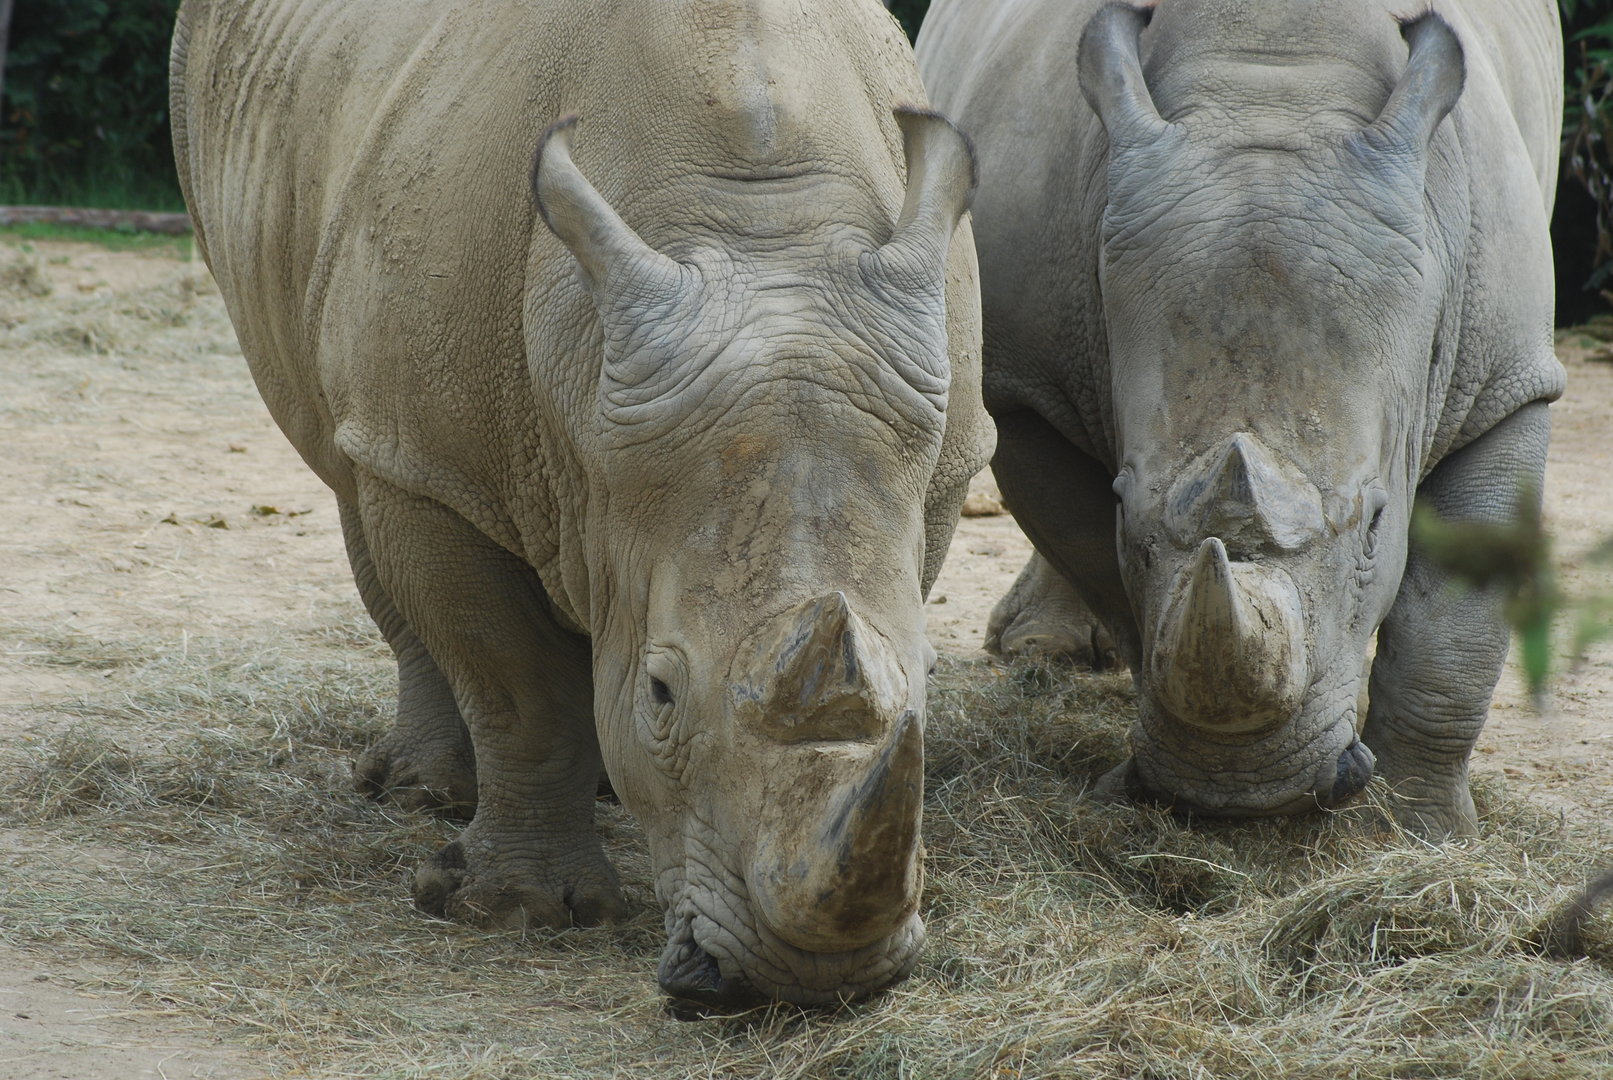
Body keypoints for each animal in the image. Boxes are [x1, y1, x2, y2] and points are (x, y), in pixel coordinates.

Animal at [170, 0, 991, 1006]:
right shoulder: (437, 461)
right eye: (661, 694)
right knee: (348, 471)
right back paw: (423, 794)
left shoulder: (941, 463)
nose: (810, 978)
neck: (758, 228)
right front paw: (519, 910)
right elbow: (516, 684)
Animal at [917, 0, 1564, 837]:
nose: (1245, 795)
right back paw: (1038, 652)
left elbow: (1451, 636)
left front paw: (1419, 834)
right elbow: (1106, 571)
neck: (1273, 90)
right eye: (1123, 509)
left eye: (1375, 527)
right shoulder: (1027, 386)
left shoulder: (1505, 385)